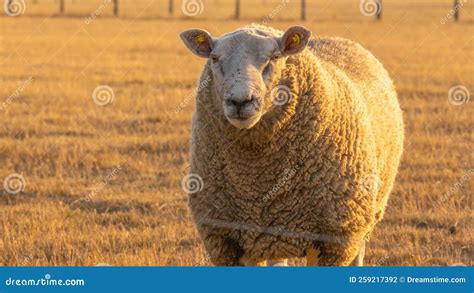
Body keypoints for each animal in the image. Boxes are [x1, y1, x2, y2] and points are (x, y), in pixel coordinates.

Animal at [180, 24, 402, 264]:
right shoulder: (229, 239)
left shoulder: (334, 239)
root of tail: (337, 39)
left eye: (275, 57)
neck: (258, 178)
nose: (240, 102)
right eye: (214, 58)